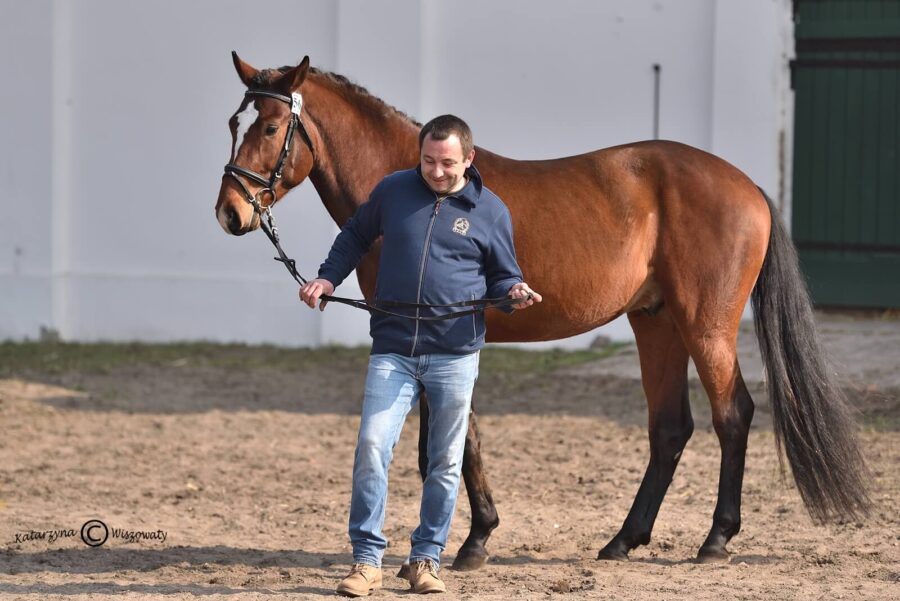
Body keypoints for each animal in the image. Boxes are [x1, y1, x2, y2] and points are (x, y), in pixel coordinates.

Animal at [214, 54, 868, 568]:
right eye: (234, 122)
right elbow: (451, 441)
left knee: (732, 415)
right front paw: (470, 537)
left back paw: (715, 540)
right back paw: (624, 540)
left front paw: (468, 542)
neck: (426, 190)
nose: (230, 212)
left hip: (705, 326)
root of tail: (748, 186)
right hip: (655, 322)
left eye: (270, 126)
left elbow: (448, 443)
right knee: (669, 428)